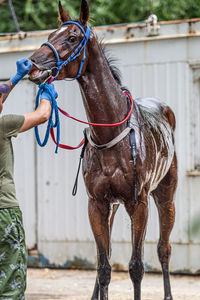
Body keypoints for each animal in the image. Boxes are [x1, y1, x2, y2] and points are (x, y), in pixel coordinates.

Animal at [27, 1, 177, 298]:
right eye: (50, 34)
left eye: (72, 38)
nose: (33, 64)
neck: (111, 135)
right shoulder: (96, 204)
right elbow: (103, 267)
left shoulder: (139, 203)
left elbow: (136, 267)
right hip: (113, 206)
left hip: (166, 196)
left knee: (163, 249)